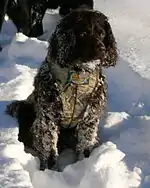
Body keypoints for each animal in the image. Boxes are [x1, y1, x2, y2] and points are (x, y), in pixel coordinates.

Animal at [6, 9, 117, 170]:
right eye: (83, 33)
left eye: (102, 33)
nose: (102, 49)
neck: (78, 75)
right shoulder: (48, 117)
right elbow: (49, 149)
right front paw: (50, 170)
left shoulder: (90, 116)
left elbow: (85, 144)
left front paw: (82, 164)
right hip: (28, 111)